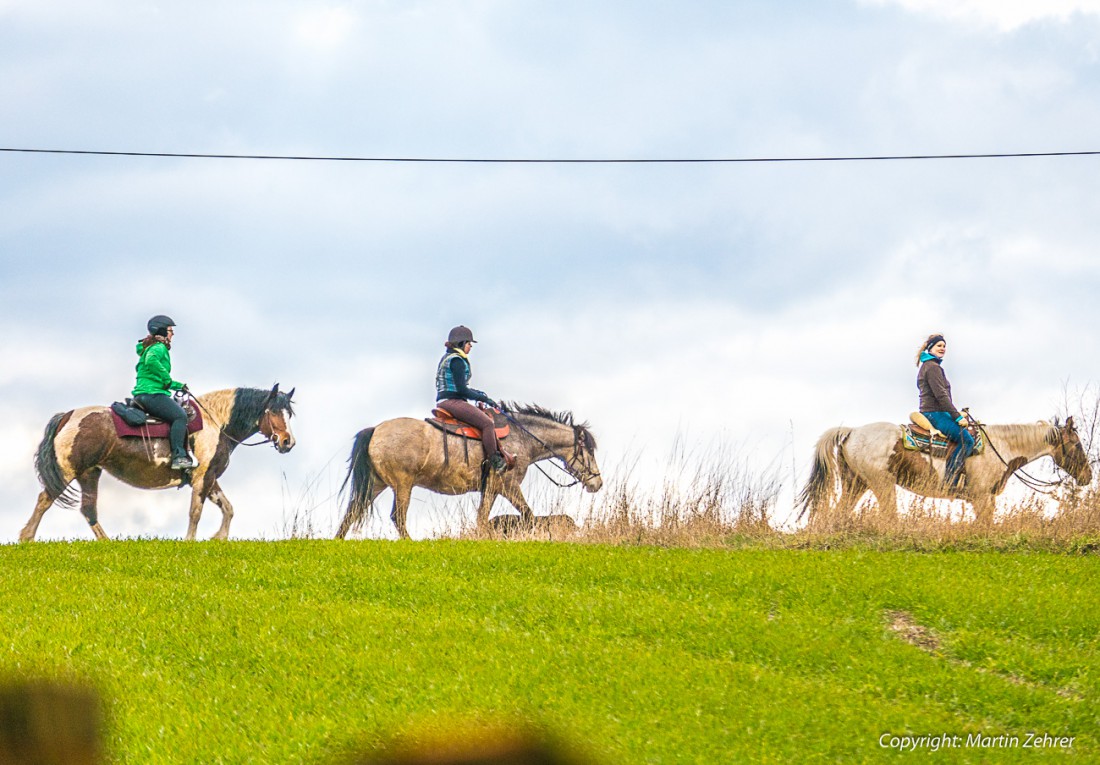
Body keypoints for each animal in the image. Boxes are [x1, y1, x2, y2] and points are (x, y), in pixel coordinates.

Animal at [22, 385, 297, 541]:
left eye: (289, 414)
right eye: (273, 411)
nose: (288, 442)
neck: (215, 423)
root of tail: (67, 415)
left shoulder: (208, 477)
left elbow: (228, 508)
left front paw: (218, 538)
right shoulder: (203, 477)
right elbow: (196, 512)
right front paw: (190, 541)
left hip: (89, 473)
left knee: (88, 510)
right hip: (68, 470)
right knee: (45, 499)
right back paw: (26, 537)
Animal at [338, 405, 607, 541]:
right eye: (589, 451)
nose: (597, 483)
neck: (522, 438)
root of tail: (375, 430)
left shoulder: (492, 488)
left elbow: (482, 518)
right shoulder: (508, 486)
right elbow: (529, 516)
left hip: (376, 484)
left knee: (353, 511)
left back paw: (338, 539)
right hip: (402, 484)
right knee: (398, 517)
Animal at [800, 418, 1091, 526]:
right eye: (1077, 444)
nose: (1088, 476)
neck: (1001, 447)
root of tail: (851, 431)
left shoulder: (984, 500)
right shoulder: (982, 498)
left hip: (855, 483)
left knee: (839, 514)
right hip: (881, 484)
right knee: (888, 516)